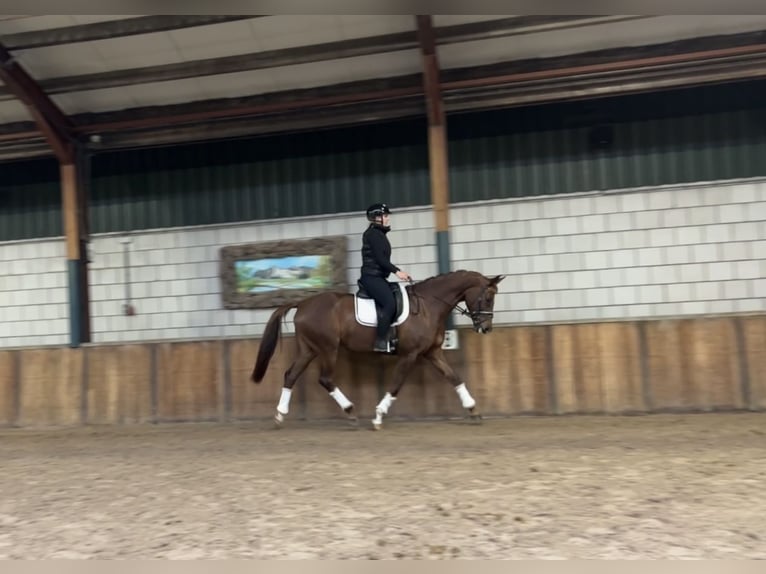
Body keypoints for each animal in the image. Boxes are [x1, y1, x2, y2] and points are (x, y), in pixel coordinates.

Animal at [250, 272, 504, 430]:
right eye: (488, 297)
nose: (486, 328)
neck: (428, 305)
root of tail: (302, 303)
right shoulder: (410, 355)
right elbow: (396, 384)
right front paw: (379, 417)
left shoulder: (432, 352)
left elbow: (455, 378)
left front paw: (473, 410)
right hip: (328, 348)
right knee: (325, 379)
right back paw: (350, 411)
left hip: (309, 349)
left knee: (291, 375)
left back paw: (279, 415)